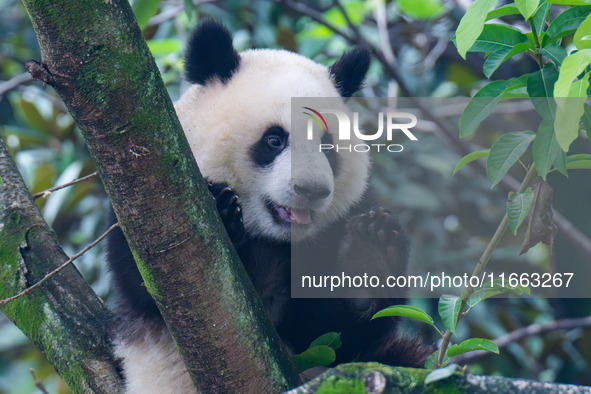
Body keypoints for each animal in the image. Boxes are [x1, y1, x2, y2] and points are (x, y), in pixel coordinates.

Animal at [105, 20, 430, 390]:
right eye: (274, 140)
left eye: (327, 146)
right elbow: (148, 284)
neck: (272, 239)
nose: (311, 190)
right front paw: (220, 212)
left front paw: (369, 255)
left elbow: (333, 333)